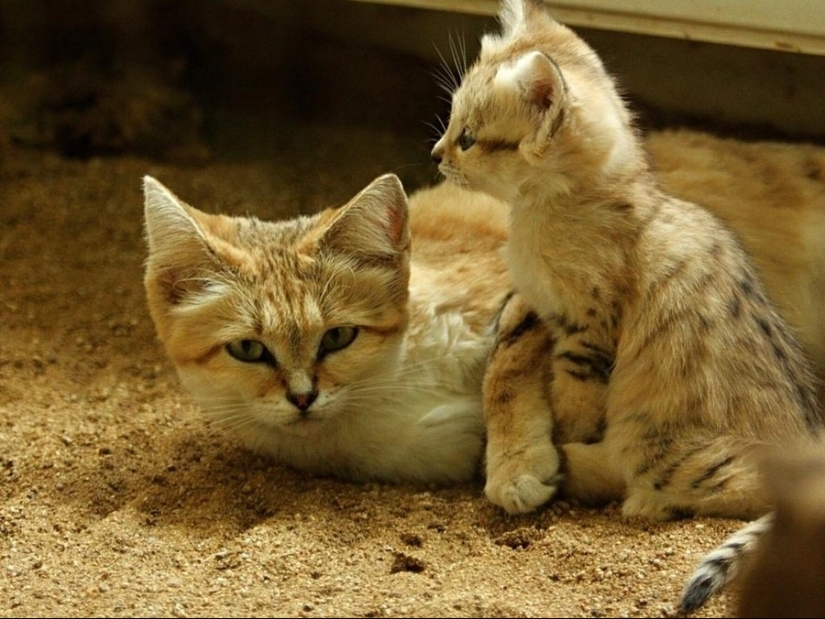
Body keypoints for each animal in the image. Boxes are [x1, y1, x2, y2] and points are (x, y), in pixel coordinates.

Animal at [432, 0, 824, 560]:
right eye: (451, 124)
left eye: (467, 138)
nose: (436, 153)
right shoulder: (541, 305)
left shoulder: (587, 323)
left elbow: (573, 395)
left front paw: (562, 434)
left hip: (661, 445)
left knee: (741, 484)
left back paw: (618, 485)